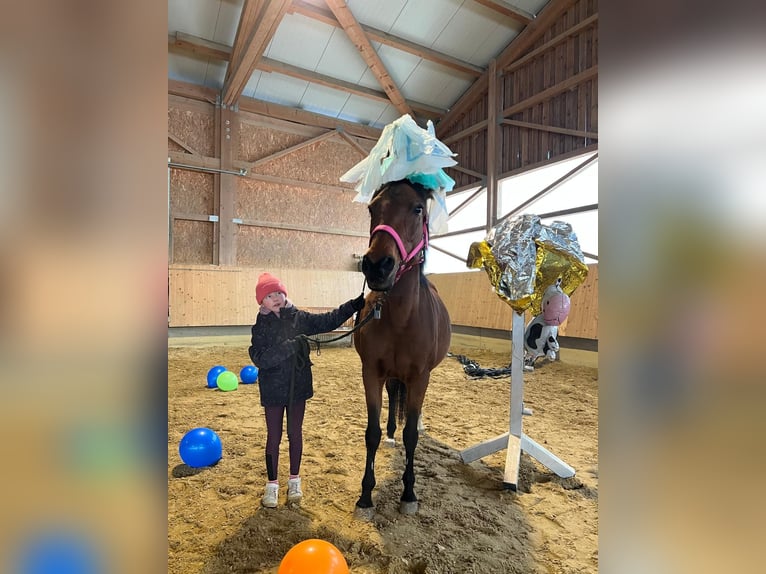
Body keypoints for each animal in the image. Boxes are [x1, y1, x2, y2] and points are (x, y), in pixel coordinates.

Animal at [352, 179, 451, 519]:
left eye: (418, 208)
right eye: (372, 209)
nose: (377, 266)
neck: (399, 318)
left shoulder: (420, 377)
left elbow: (413, 436)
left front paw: (409, 493)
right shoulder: (371, 373)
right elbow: (371, 433)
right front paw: (365, 497)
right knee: (395, 396)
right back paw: (392, 432)